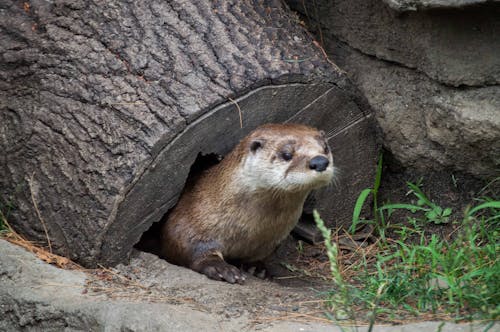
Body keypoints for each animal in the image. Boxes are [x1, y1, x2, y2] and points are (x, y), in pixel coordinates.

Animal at [162, 123, 334, 284]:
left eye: (326, 148)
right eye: (286, 154)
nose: (320, 161)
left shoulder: (269, 242)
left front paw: (257, 268)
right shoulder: (190, 216)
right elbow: (188, 245)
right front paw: (220, 268)